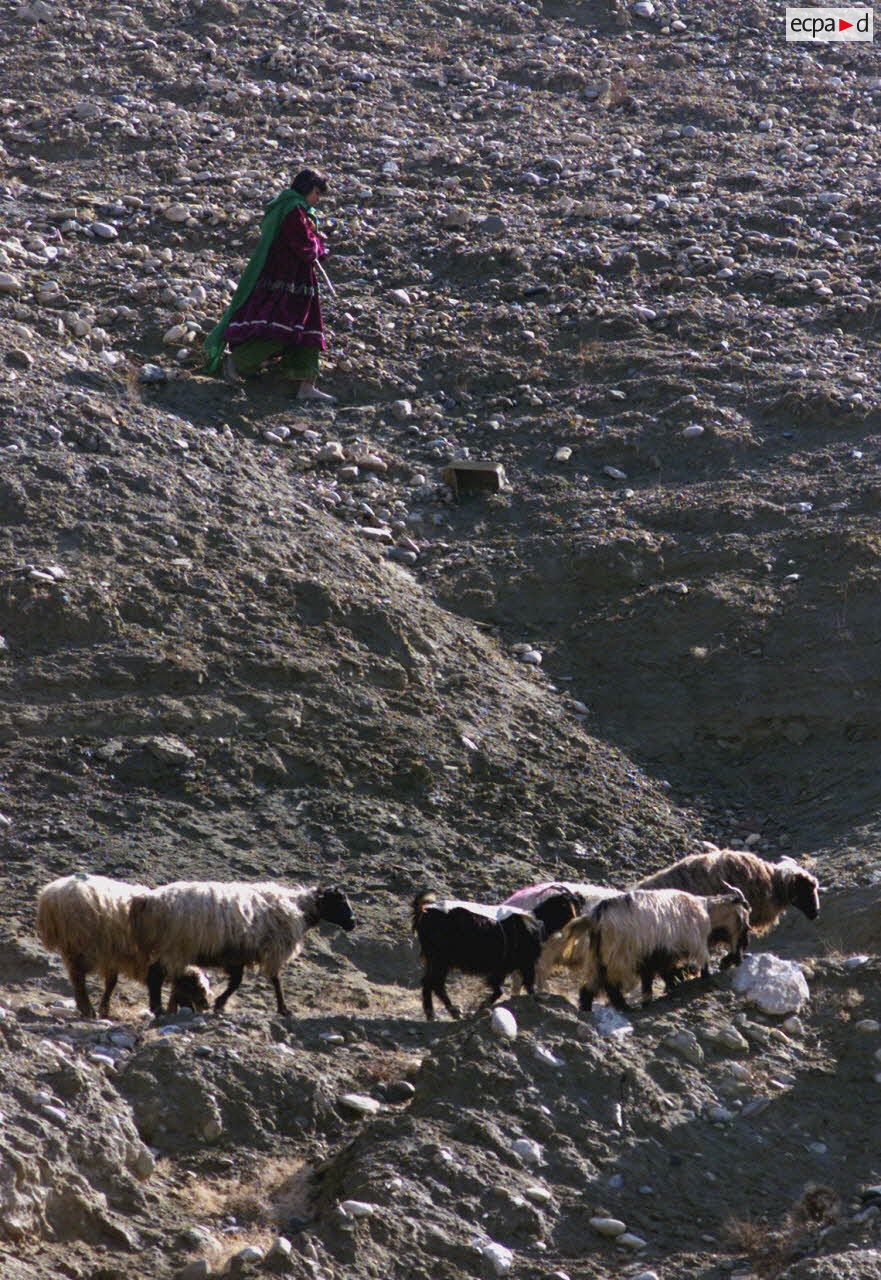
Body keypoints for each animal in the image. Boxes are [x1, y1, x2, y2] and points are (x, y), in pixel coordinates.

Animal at [35, 870, 213, 1018]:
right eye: (196, 988)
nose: (206, 1006)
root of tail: (51, 894)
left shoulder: (112, 955)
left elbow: (111, 982)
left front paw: (105, 1009)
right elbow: (150, 982)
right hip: (79, 943)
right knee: (78, 977)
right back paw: (87, 1009)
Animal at [127, 875, 353, 1013]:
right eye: (339, 901)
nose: (353, 922)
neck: (299, 908)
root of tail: (148, 900)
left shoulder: (237, 956)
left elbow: (237, 982)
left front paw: (219, 1003)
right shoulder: (272, 950)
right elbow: (275, 980)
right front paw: (283, 1009)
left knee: (155, 974)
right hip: (174, 946)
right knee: (155, 975)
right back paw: (157, 1009)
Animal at [537, 890, 747, 1008]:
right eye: (745, 924)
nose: (739, 956)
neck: (706, 912)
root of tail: (596, 916)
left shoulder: (654, 953)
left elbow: (655, 975)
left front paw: (658, 993)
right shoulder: (682, 945)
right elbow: (684, 967)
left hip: (600, 957)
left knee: (591, 986)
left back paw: (588, 1007)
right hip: (618, 956)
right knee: (610, 985)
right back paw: (623, 1006)